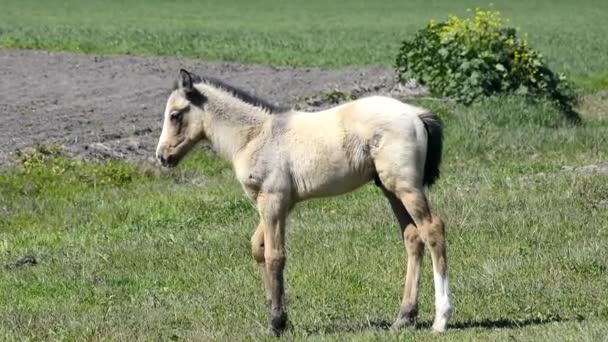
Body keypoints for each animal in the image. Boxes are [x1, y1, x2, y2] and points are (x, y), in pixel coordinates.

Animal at [156, 69, 452, 334]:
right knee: (412, 236)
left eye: (175, 115)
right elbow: (258, 248)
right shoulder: (280, 204)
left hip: (405, 187)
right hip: (390, 189)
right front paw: (279, 313)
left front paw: (276, 323)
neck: (255, 136)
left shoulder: (273, 199)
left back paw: (441, 319)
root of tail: (415, 113)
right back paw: (405, 317)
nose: (161, 156)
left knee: (432, 229)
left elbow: (274, 255)